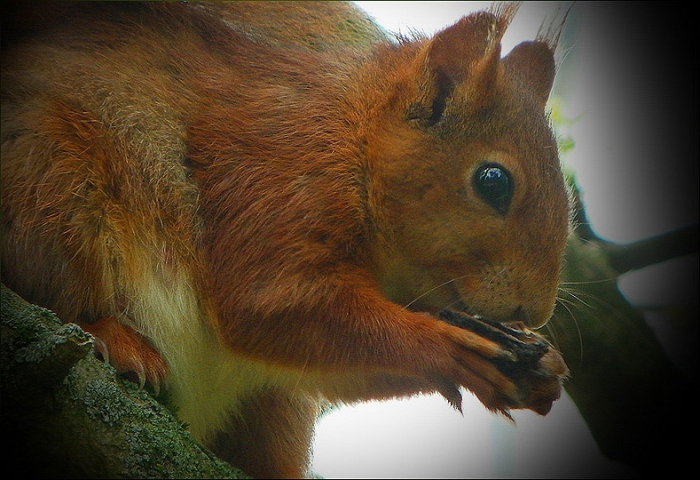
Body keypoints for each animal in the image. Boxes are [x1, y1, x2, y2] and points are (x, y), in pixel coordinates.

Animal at [1, 2, 571, 477]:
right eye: (493, 181)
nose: (534, 311)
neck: (354, 137)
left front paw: (541, 368)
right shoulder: (274, 177)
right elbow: (268, 304)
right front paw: (451, 346)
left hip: (270, 411)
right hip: (49, 180)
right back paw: (113, 337)